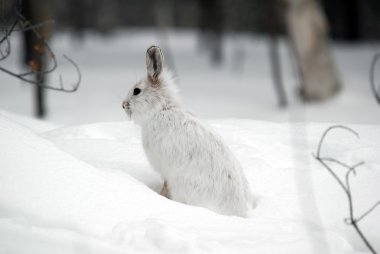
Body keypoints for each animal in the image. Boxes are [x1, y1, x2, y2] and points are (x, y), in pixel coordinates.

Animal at [121, 45, 254, 216]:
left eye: (136, 91)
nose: (123, 104)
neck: (161, 109)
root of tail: (238, 212)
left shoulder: (166, 169)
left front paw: (161, 196)